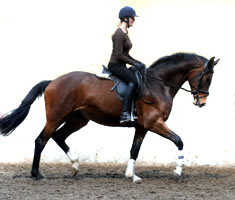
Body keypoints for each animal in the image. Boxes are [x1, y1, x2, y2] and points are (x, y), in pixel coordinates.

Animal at [0, 52, 219, 182]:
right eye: (208, 76)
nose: (201, 102)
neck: (159, 84)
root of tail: (53, 81)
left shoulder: (142, 126)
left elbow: (134, 149)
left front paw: (131, 175)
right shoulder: (154, 123)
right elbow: (179, 140)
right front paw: (178, 170)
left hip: (78, 119)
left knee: (58, 137)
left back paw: (75, 165)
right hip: (56, 117)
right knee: (41, 140)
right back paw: (37, 174)